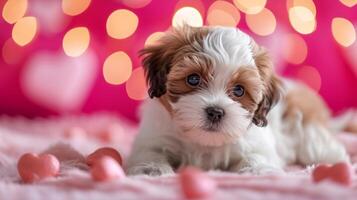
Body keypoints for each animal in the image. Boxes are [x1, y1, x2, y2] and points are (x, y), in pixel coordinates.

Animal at [125, 25, 348, 176]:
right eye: (193, 79)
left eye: (239, 90)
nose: (215, 112)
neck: (203, 142)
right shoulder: (153, 137)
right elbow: (150, 152)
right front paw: (152, 169)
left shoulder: (259, 144)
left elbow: (257, 156)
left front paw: (258, 171)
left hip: (306, 131)